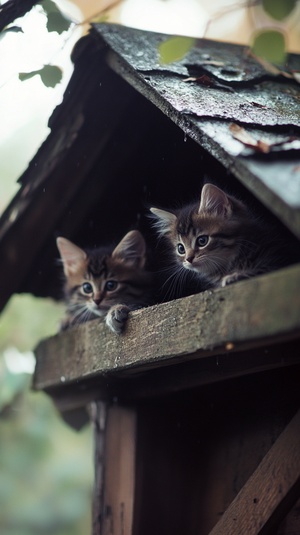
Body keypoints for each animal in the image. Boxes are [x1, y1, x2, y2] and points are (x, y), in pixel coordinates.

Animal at [150, 184, 296, 294]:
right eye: (181, 248)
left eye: (202, 241)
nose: (188, 259)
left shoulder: (279, 259)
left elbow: (261, 270)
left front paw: (235, 276)